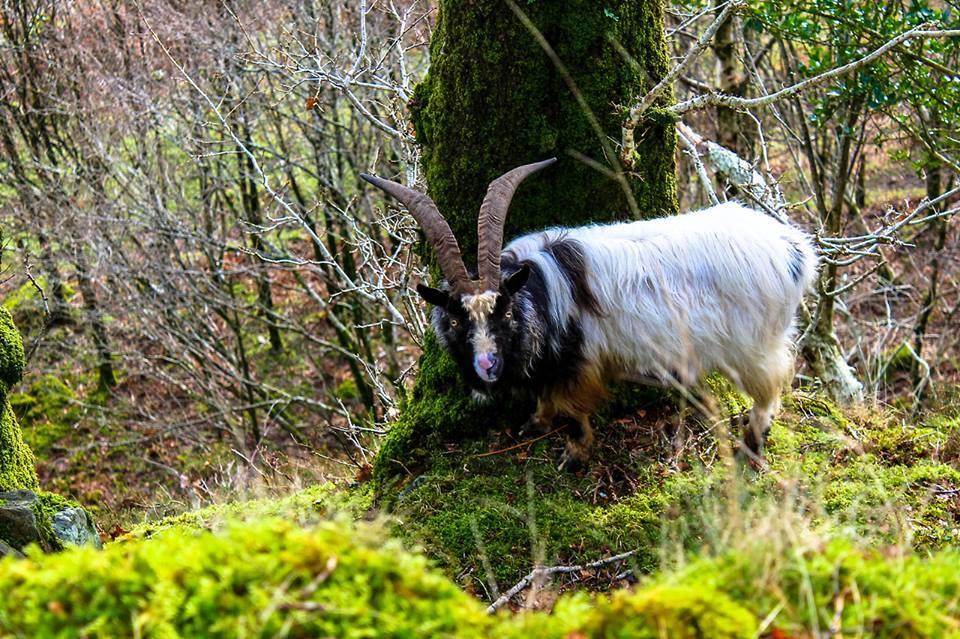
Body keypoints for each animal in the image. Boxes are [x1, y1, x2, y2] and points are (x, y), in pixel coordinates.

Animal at [362, 160, 816, 470]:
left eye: (504, 313)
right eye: (457, 320)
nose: (487, 364)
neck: (539, 293)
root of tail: (793, 249)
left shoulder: (578, 363)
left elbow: (573, 410)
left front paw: (574, 455)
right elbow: (544, 398)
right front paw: (534, 424)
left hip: (753, 345)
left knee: (771, 386)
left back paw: (751, 446)